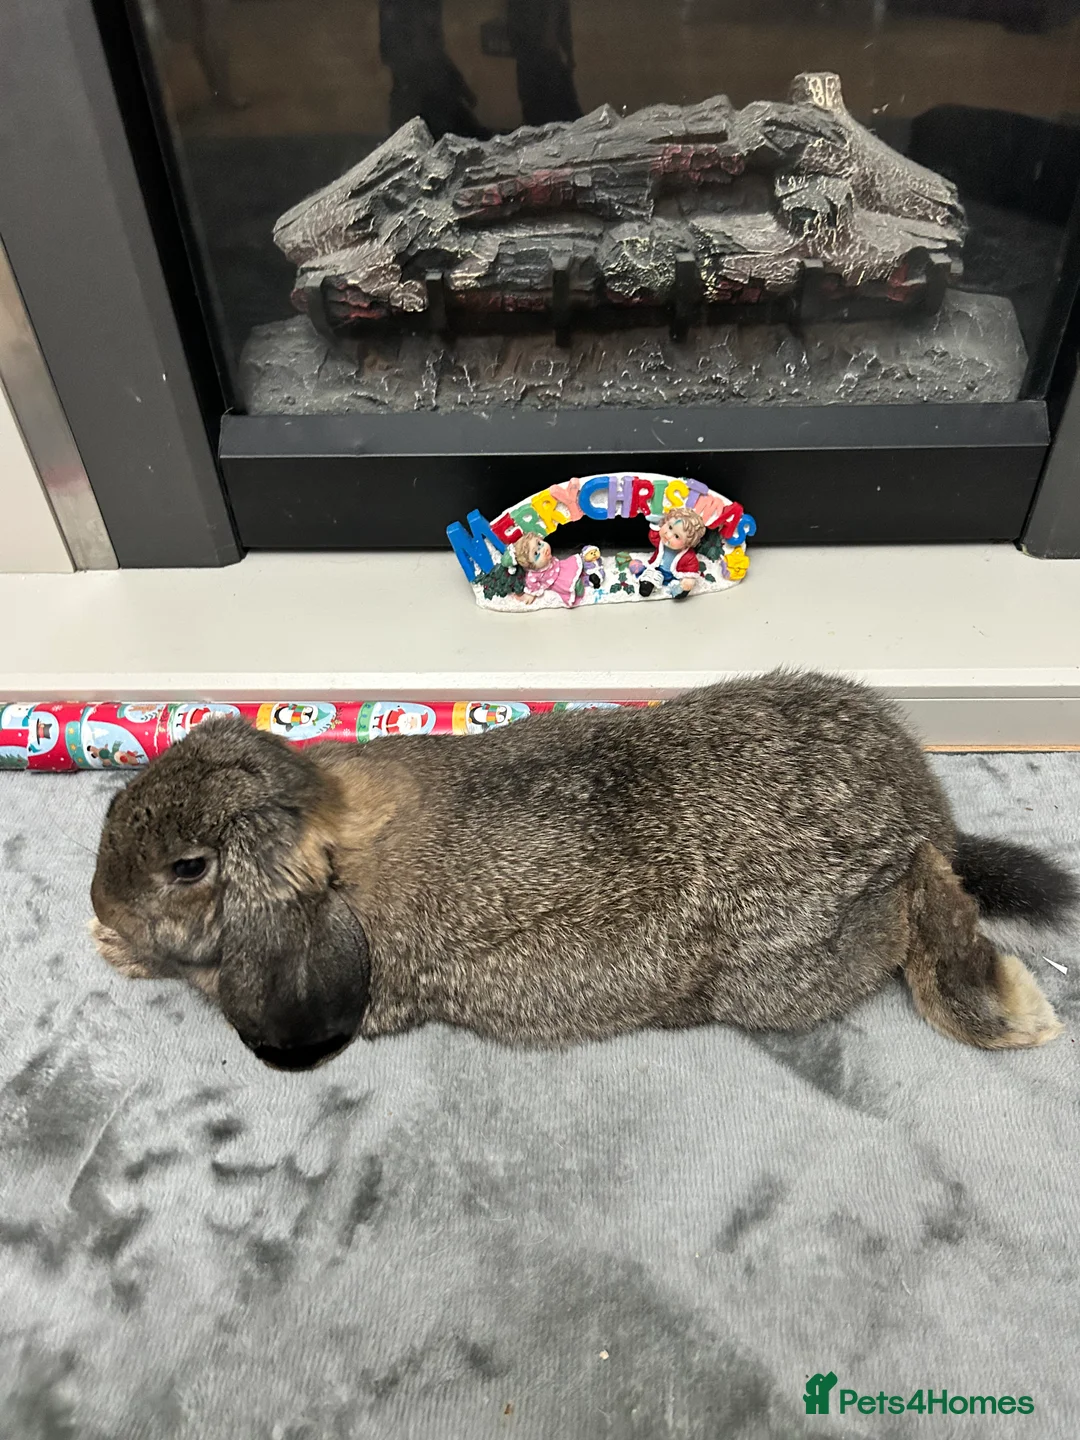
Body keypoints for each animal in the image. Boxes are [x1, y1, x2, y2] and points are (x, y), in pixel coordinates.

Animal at [90, 671, 1076, 1070]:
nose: (100, 897)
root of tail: (924, 816)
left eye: (189, 866)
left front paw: (118, 950)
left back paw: (1007, 1009)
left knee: (924, 911)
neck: (328, 827)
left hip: (800, 962)